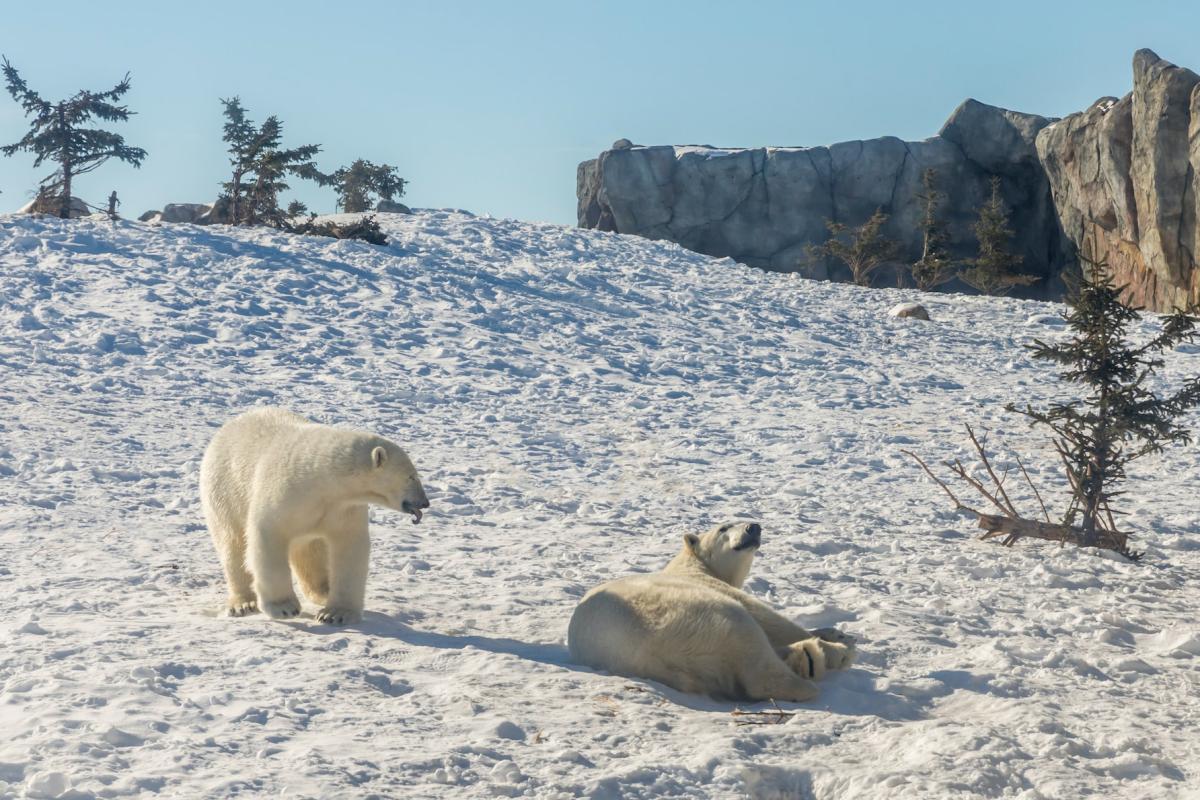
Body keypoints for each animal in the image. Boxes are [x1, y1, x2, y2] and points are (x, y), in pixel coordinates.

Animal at [201, 407, 432, 623]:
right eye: (411, 477)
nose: (425, 502)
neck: (321, 478)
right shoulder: (284, 493)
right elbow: (268, 536)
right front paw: (284, 608)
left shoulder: (342, 507)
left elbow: (349, 546)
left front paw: (336, 614)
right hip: (224, 492)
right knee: (233, 545)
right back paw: (243, 603)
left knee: (309, 551)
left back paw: (323, 592)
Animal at [568, 520, 859, 700]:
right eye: (723, 528)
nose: (753, 527)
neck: (691, 564)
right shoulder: (710, 586)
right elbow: (769, 618)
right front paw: (841, 640)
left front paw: (833, 633)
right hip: (696, 615)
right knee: (753, 653)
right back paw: (816, 664)